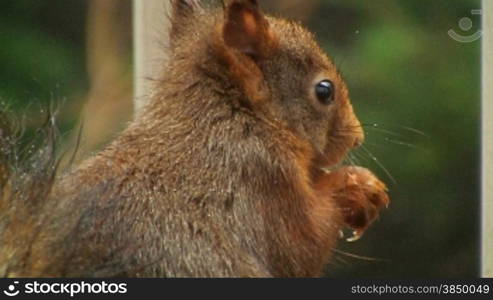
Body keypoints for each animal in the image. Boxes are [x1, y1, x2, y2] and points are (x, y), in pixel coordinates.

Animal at [0, 0, 390, 278]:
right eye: (324, 91)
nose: (356, 138)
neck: (230, 116)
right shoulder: (262, 177)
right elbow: (304, 244)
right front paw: (357, 185)